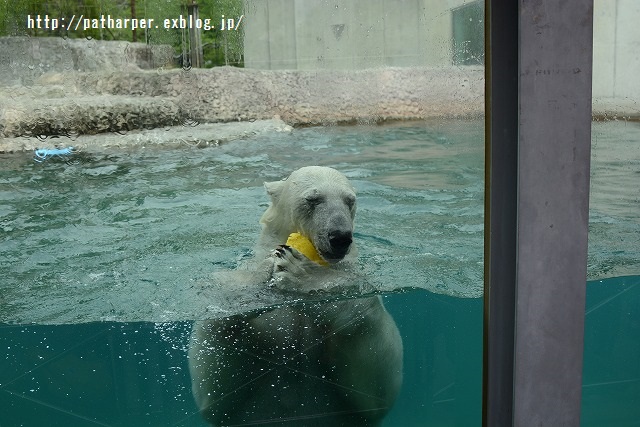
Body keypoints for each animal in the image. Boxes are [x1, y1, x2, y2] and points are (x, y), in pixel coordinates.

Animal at [188, 167, 402, 427]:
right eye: (313, 199)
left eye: (349, 200)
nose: (340, 237)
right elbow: (215, 393)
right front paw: (257, 278)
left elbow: (377, 391)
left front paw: (302, 274)